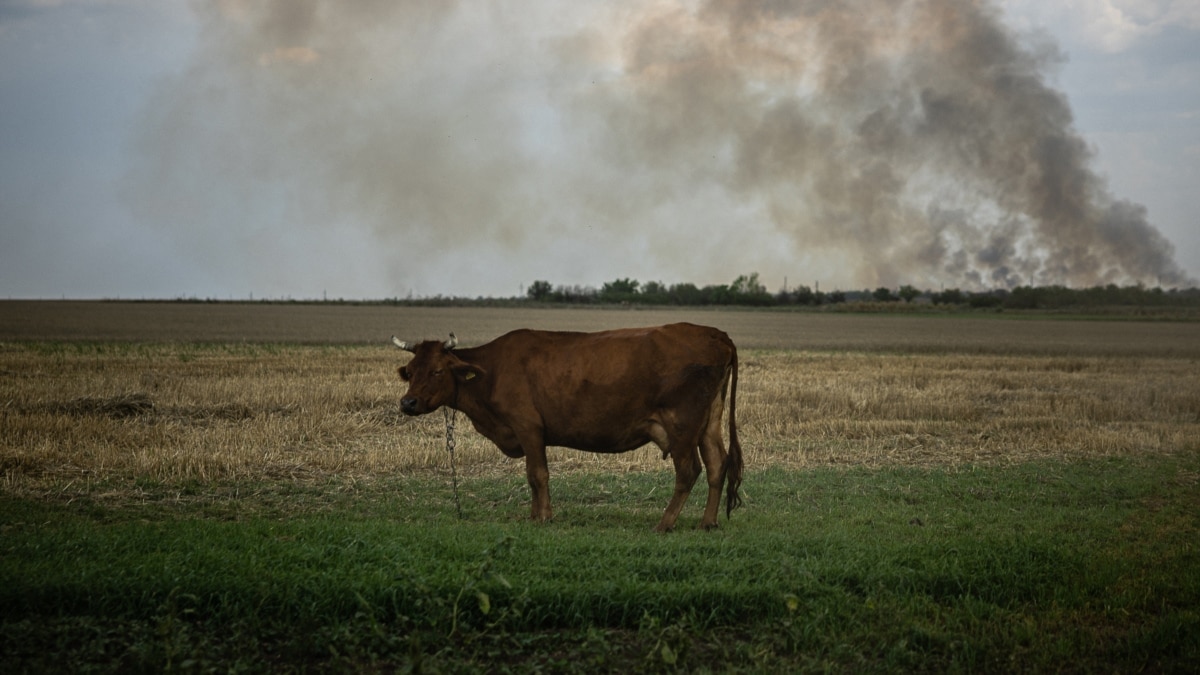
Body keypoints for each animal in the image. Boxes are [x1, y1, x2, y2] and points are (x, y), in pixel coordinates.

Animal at [393, 321, 739, 530]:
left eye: (438, 370)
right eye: (410, 370)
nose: (408, 403)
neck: (492, 371)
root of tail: (714, 333)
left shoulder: (528, 427)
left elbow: (538, 474)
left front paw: (543, 517)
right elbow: (532, 477)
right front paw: (534, 514)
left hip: (682, 425)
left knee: (689, 470)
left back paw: (665, 523)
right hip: (709, 423)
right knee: (717, 464)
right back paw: (707, 522)